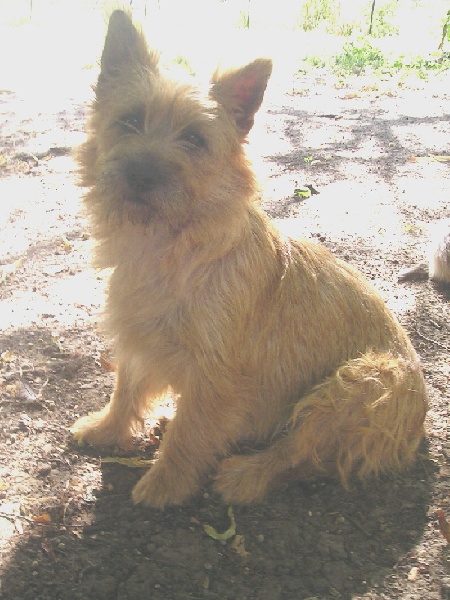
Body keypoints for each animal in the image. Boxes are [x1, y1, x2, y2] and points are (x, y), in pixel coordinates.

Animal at [71, 10, 428, 508]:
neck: (169, 245)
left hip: (359, 383)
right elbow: (126, 390)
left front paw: (165, 484)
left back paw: (247, 474)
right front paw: (106, 429)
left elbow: (191, 431)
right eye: (130, 120)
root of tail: (419, 430)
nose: (142, 174)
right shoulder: (138, 336)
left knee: (301, 453)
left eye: (194, 138)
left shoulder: (216, 371)